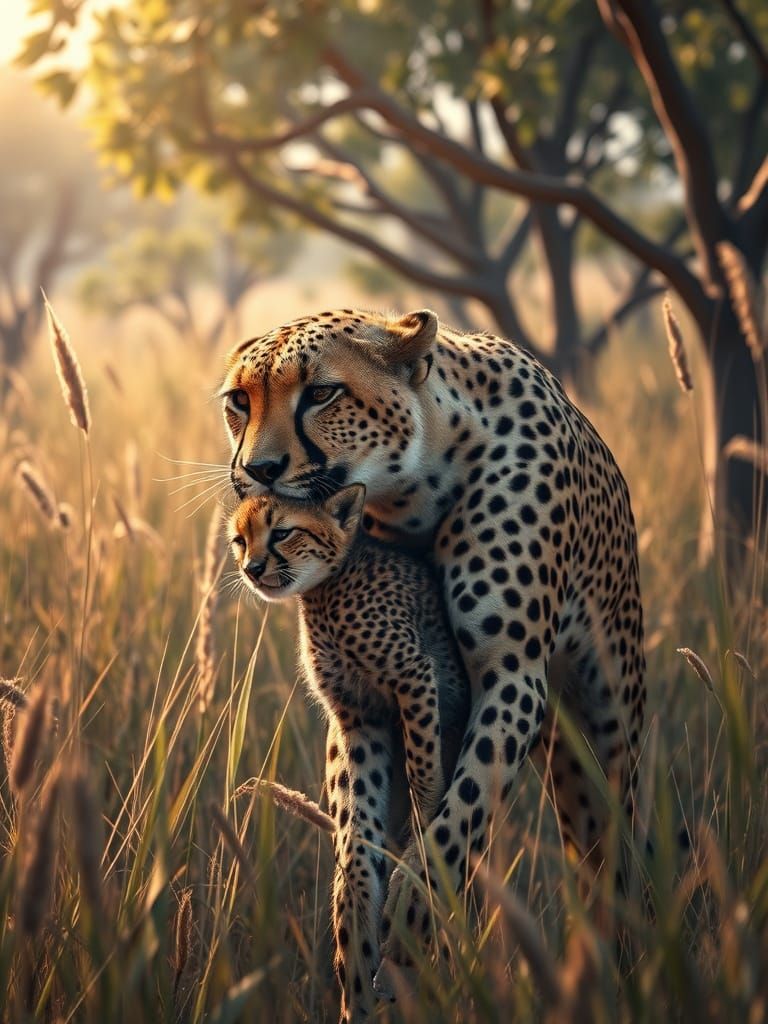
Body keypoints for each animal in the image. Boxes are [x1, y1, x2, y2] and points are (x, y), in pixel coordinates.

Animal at [227, 483, 470, 1022]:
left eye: (282, 532)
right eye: (239, 539)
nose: (252, 567)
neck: (324, 590)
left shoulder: (414, 677)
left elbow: (423, 773)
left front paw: (416, 839)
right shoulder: (359, 715)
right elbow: (358, 820)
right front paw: (360, 876)